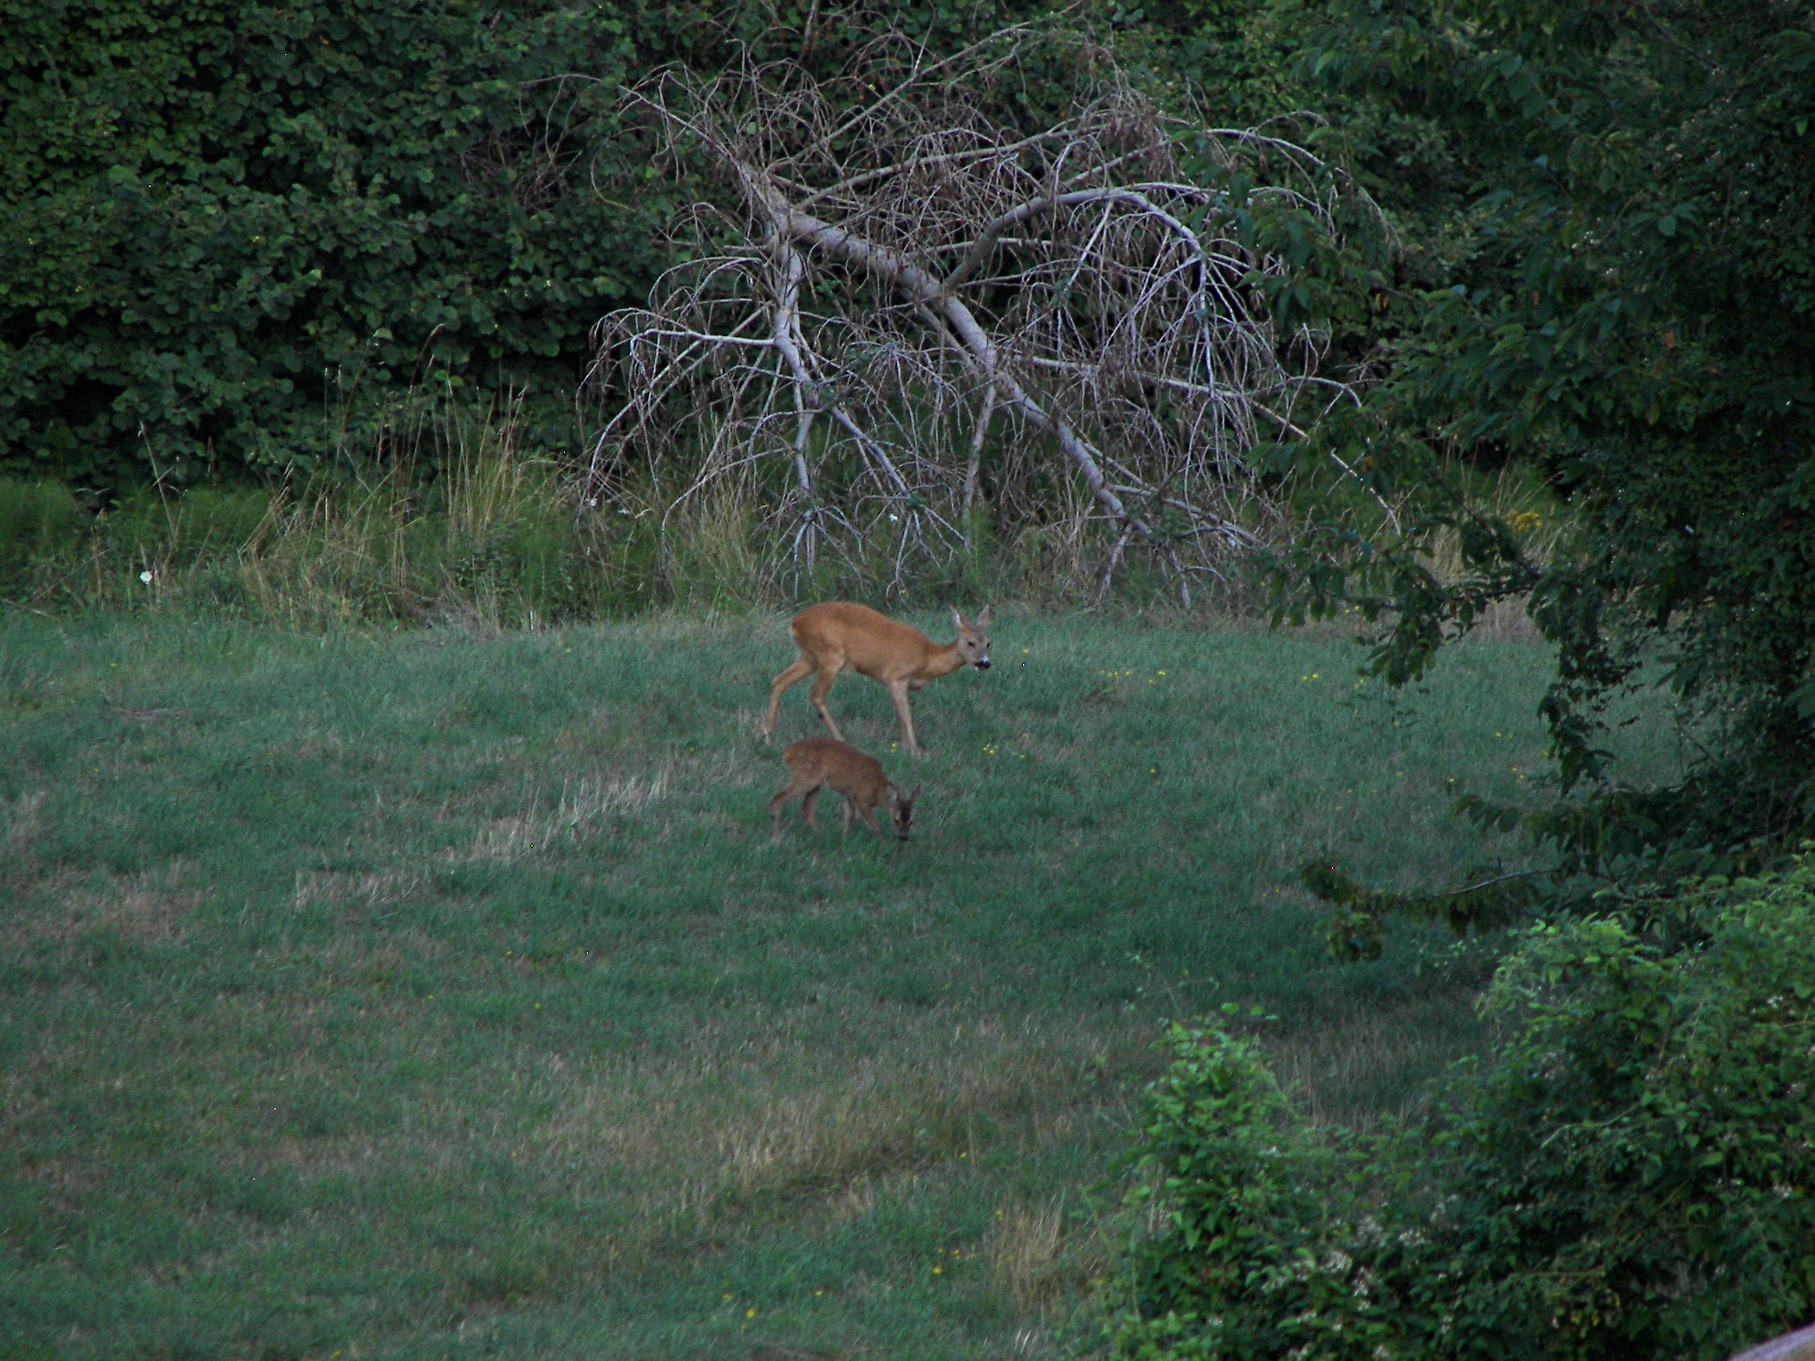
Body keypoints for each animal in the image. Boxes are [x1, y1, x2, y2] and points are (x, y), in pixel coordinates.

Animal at [762, 606, 994, 758]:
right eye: (970, 643)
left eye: (988, 643)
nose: (985, 663)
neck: (927, 658)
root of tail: (795, 622)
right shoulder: (895, 675)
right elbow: (905, 712)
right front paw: (914, 750)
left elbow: (899, 712)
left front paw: (905, 746)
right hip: (831, 655)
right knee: (816, 695)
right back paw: (840, 739)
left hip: (809, 657)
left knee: (778, 681)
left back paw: (767, 734)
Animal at [773, 740, 922, 838]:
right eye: (896, 820)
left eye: (911, 821)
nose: (903, 837)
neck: (877, 791)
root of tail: (787, 753)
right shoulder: (861, 797)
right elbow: (876, 825)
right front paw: (882, 843)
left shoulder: (850, 796)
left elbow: (849, 819)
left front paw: (844, 839)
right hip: (807, 777)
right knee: (778, 798)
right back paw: (777, 838)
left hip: (815, 783)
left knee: (806, 809)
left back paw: (820, 834)